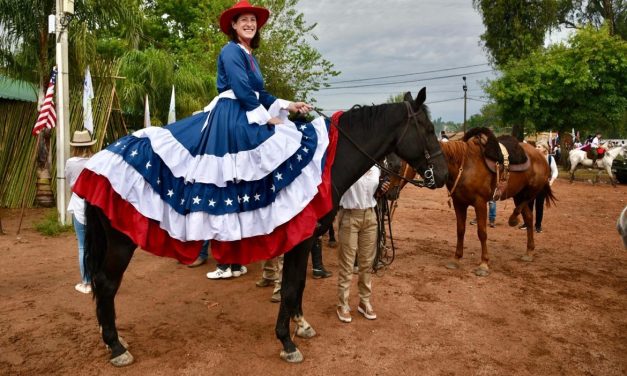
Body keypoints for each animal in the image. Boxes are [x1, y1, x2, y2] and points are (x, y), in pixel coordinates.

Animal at [83, 87, 448, 364]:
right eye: (429, 130)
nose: (442, 175)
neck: (329, 162)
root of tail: (95, 162)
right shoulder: (300, 240)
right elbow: (289, 287)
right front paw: (287, 342)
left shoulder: (303, 239)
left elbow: (298, 285)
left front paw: (301, 325)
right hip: (121, 243)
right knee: (106, 283)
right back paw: (116, 346)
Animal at [390, 127, 556, 276]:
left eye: (399, 166)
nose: (389, 192)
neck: (463, 166)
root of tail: (540, 155)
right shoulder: (459, 203)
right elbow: (460, 230)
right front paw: (456, 259)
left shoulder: (480, 203)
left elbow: (482, 233)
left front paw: (483, 264)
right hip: (518, 194)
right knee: (528, 217)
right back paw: (529, 251)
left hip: (531, 190)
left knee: (525, 207)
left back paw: (513, 220)